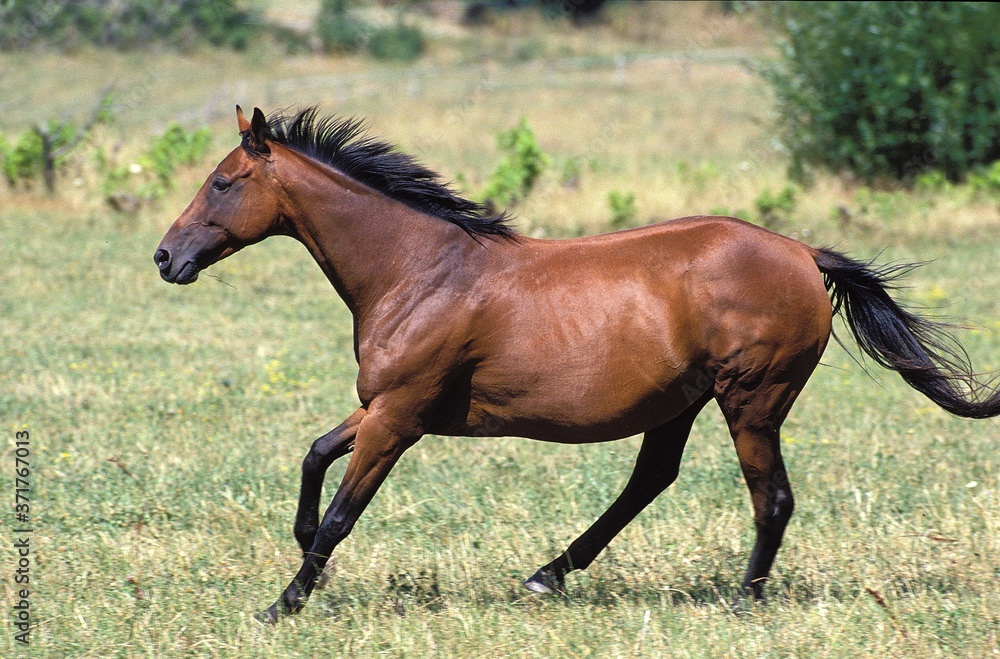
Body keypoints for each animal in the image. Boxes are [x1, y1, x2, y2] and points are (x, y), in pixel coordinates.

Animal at [154, 106, 1000, 624]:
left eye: (223, 182)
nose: (166, 257)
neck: (419, 269)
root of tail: (803, 253)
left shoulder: (399, 416)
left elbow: (342, 509)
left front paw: (284, 601)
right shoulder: (385, 405)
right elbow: (314, 454)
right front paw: (305, 559)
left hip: (752, 400)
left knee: (772, 499)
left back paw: (743, 598)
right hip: (682, 402)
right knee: (651, 479)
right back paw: (549, 572)